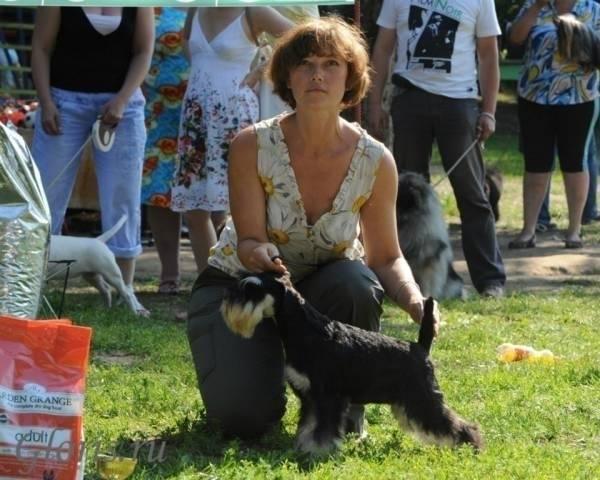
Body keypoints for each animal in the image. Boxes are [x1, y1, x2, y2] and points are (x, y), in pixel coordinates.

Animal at [221, 272, 483, 455]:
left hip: (422, 398)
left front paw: (318, 451)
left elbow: (323, 430)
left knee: (455, 424)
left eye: (253, 289)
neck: (305, 330)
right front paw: (304, 447)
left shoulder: (328, 397)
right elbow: (308, 426)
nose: (226, 304)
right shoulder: (310, 398)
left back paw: (472, 444)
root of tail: (420, 347)